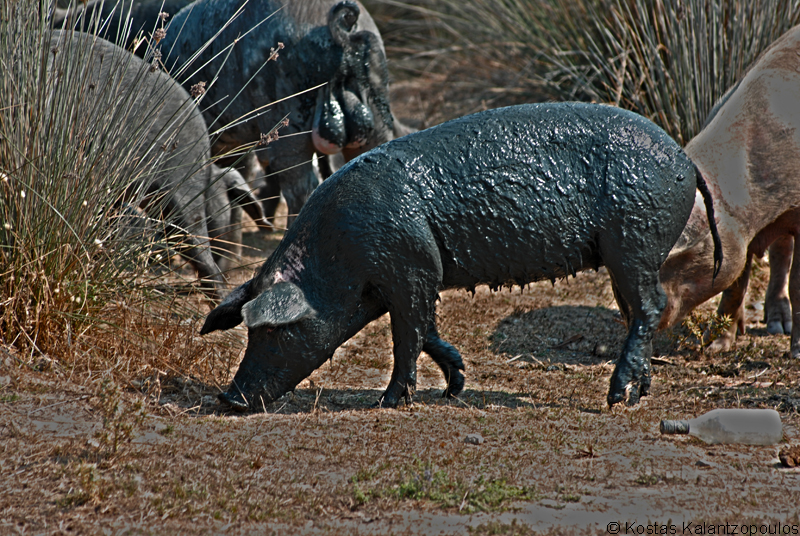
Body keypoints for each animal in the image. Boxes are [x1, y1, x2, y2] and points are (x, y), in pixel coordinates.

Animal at [200, 102, 722, 410]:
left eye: (276, 332)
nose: (230, 398)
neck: (338, 256)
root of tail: (685, 160)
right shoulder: (414, 277)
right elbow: (426, 330)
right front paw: (456, 385)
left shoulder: (410, 267)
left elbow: (407, 337)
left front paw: (388, 402)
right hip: (630, 252)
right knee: (640, 311)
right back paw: (638, 395)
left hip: (635, 240)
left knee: (651, 306)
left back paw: (615, 398)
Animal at [658, 25, 800, 357]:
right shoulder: (741, 230)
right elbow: (735, 285)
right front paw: (716, 347)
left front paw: (797, 353)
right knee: (780, 251)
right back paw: (773, 325)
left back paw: (780, 330)